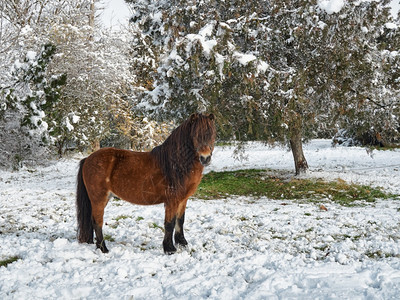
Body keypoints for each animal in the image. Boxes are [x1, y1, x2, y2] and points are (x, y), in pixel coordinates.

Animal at [77, 113, 217, 254]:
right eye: (195, 135)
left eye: (212, 134)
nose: (205, 158)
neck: (175, 165)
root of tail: (88, 159)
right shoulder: (172, 201)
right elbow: (169, 224)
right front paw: (169, 249)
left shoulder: (183, 199)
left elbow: (180, 221)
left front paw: (182, 243)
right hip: (99, 199)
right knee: (97, 222)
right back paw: (103, 249)